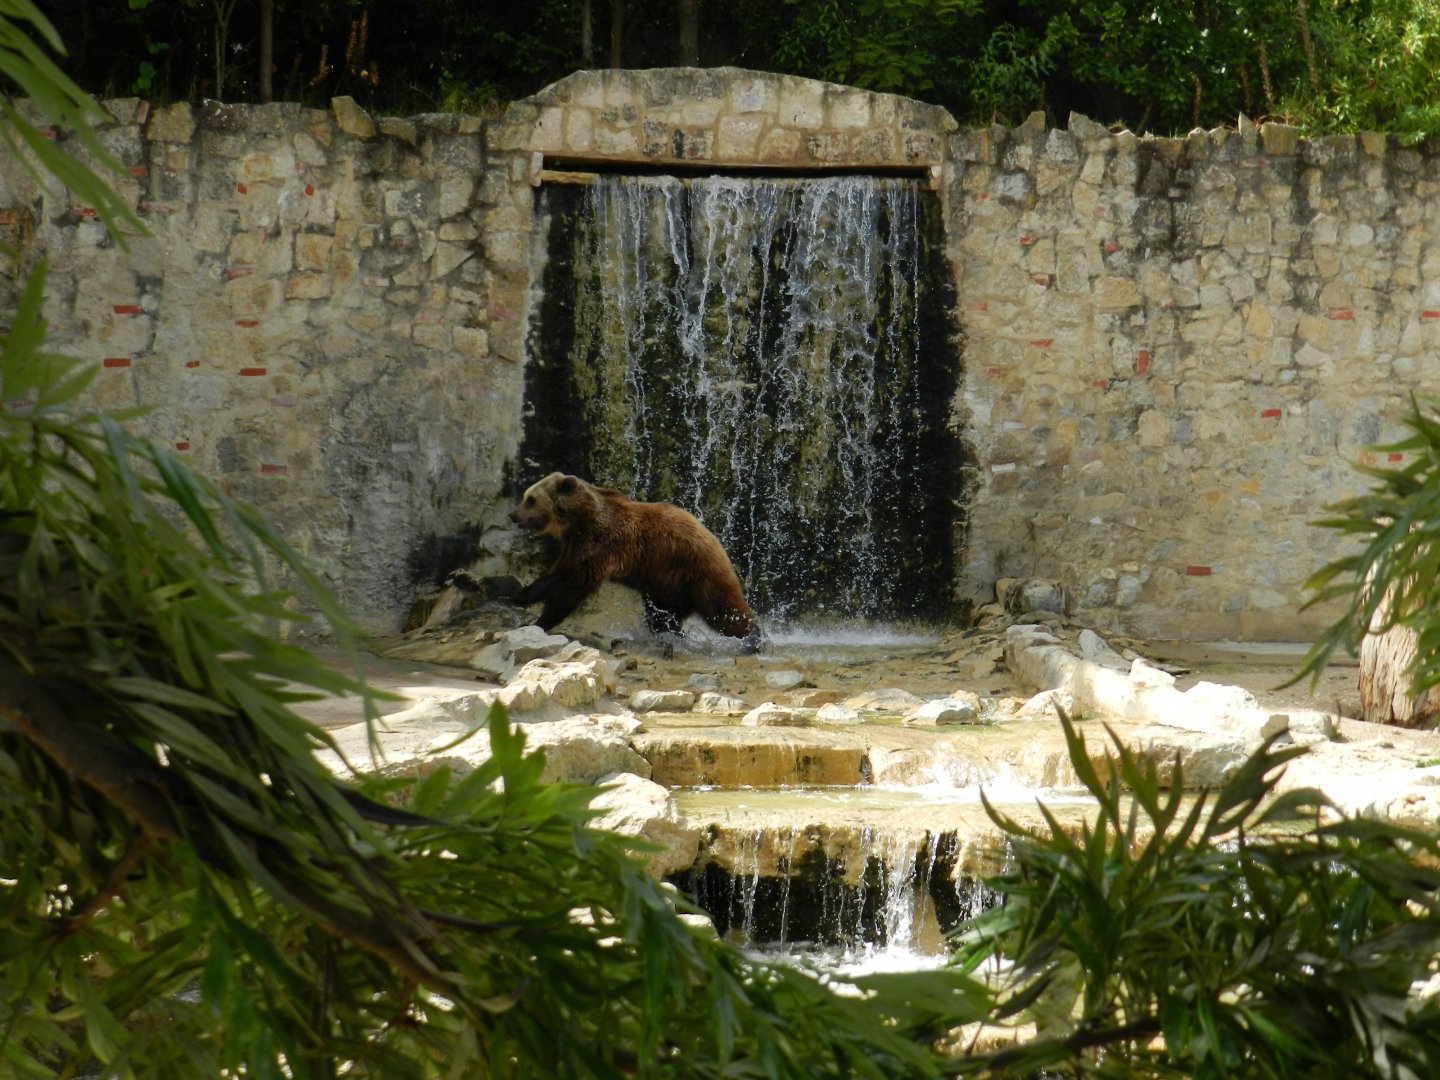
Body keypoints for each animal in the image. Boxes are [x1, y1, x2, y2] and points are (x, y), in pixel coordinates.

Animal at [510, 473, 762, 652]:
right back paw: (672, 635)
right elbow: (562, 574)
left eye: (530, 500)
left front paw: (537, 617)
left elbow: (572, 584)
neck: (577, 521)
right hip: (667, 585)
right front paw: (521, 596)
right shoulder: (575, 545)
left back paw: (752, 639)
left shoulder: (602, 543)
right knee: (661, 616)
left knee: (723, 609)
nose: (513, 515)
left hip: (698, 570)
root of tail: (715, 539)